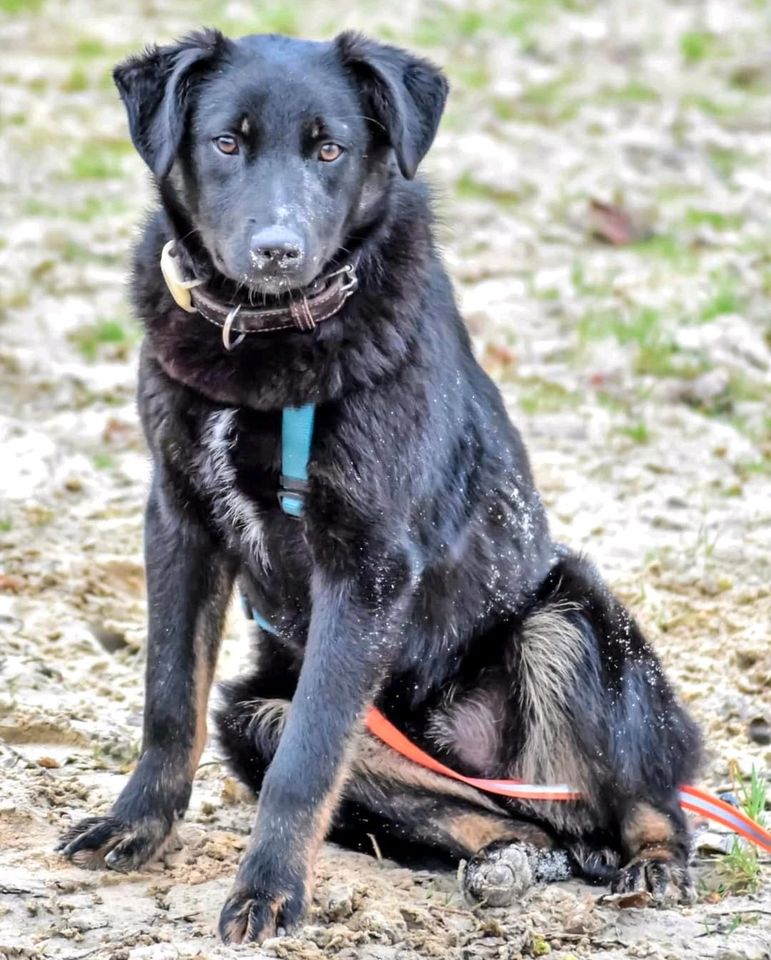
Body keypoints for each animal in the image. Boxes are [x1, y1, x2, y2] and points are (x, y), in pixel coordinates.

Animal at [57, 28, 704, 944]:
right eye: (226, 144)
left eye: (330, 148)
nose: (278, 251)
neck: (261, 336)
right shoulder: (180, 524)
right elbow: (169, 701)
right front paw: (136, 826)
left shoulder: (365, 567)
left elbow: (306, 763)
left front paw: (269, 889)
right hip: (255, 714)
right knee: (503, 815)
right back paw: (505, 860)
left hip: (568, 620)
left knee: (639, 794)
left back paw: (652, 861)